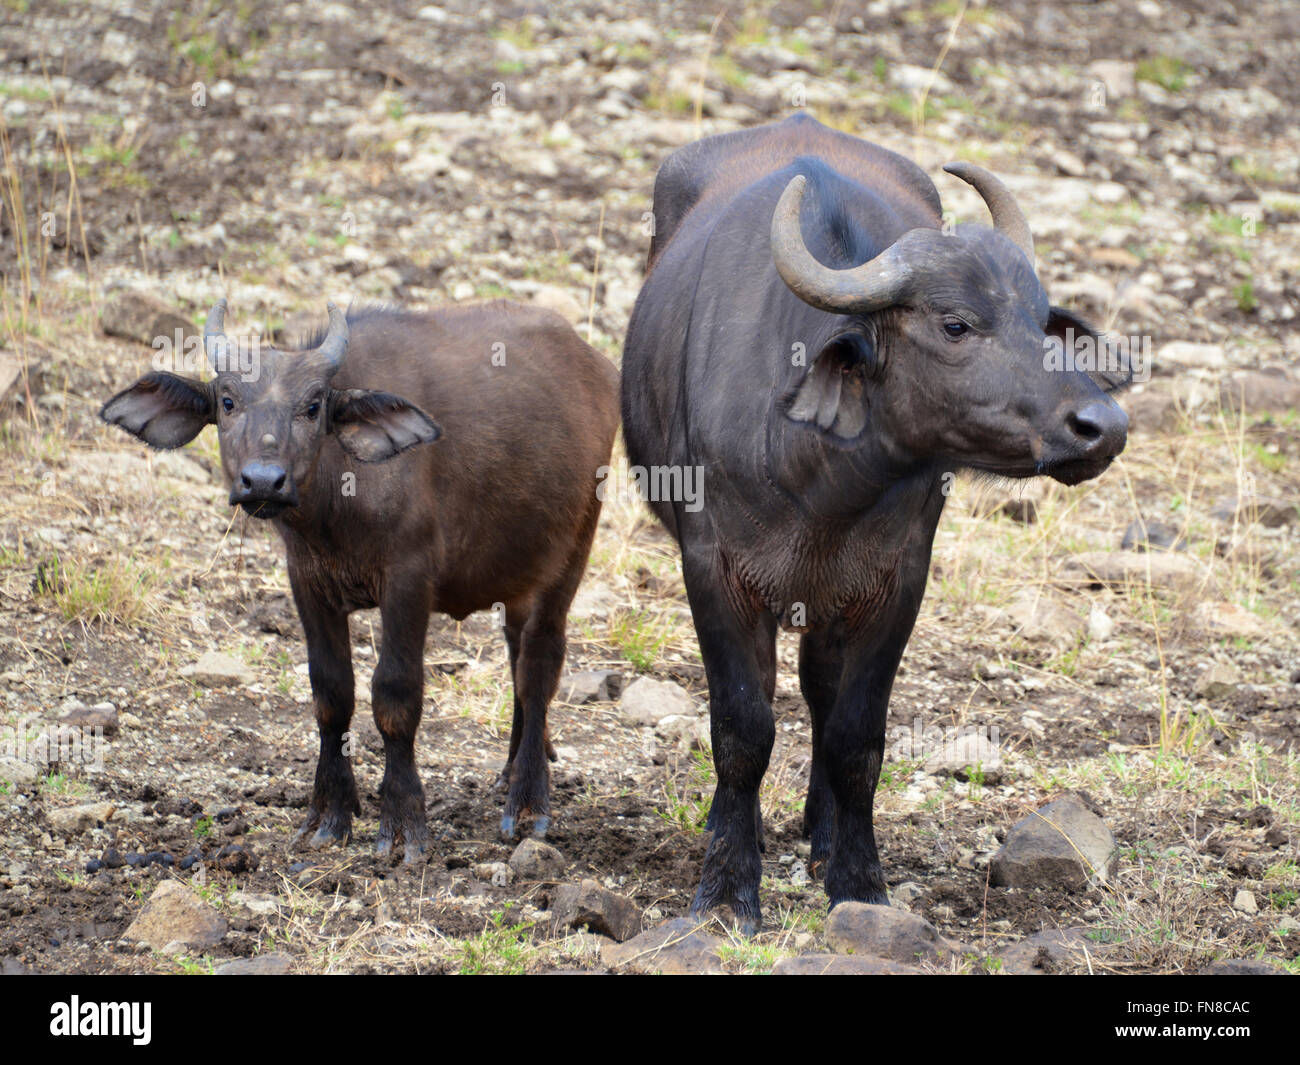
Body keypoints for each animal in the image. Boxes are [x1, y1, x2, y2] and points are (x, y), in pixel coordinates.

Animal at [102, 300, 619, 860]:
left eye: (312, 407)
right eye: (227, 401)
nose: (262, 480)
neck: (337, 505)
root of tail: (596, 367)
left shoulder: (408, 580)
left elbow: (395, 696)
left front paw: (403, 823)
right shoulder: (307, 581)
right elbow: (331, 695)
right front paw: (329, 813)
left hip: (571, 554)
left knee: (539, 667)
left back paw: (527, 802)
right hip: (516, 573)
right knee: (516, 655)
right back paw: (510, 771)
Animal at [622, 113, 1129, 930]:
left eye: (1039, 320)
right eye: (955, 323)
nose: (1101, 425)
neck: (823, 486)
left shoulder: (893, 580)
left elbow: (857, 736)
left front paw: (857, 880)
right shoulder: (713, 571)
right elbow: (742, 729)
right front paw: (727, 888)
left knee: (821, 694)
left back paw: (822, 833)